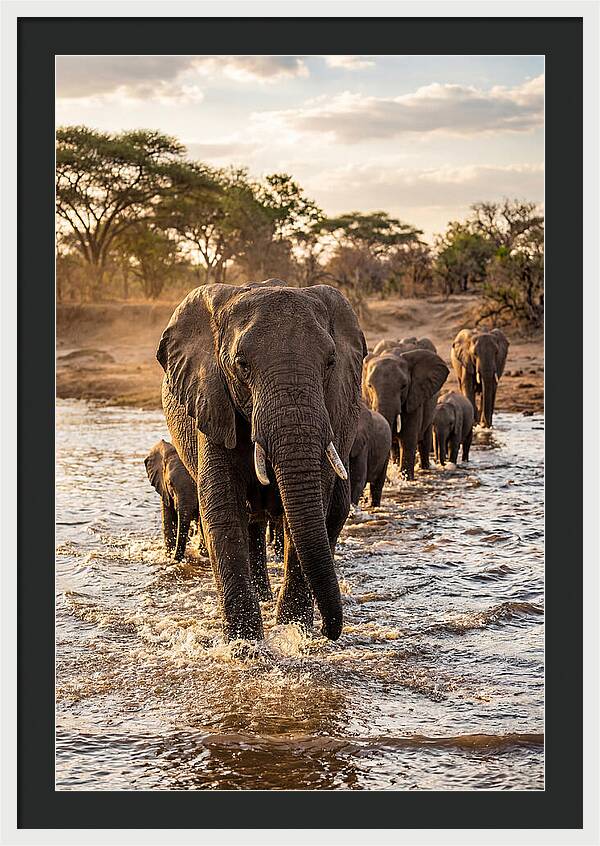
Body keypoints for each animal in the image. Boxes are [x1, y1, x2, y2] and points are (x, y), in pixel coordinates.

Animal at [157, 281, 366, 642]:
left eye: (330, 362)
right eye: (241, 365)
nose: (330, 631)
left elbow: (311, 508)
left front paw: (294, 633)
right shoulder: (212, 400)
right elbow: (223, 511)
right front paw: (245, 646)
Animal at [362, 348, 449, 480]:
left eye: (403, 386)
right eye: (369, 386)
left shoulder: (414, 397)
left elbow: (408, 440)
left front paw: (406, 479)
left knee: (425, 439)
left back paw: (425, 468)